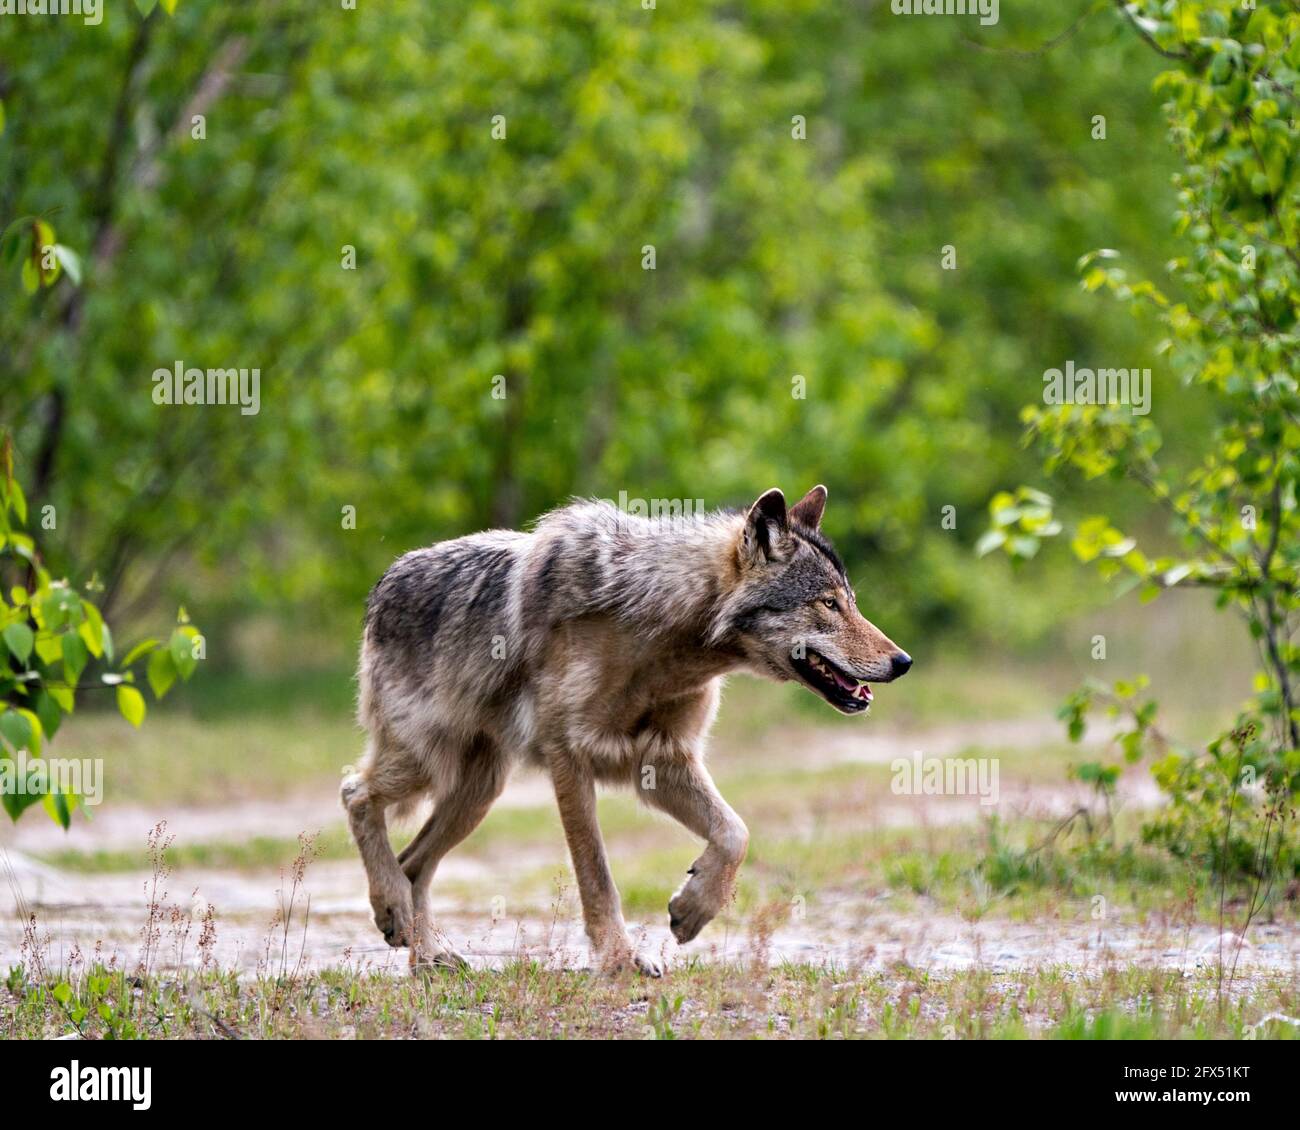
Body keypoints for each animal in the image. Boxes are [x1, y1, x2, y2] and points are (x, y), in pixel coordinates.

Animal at [345, 481, 915, 972]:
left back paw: (425, 954)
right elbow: (595, 875)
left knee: (413, 862)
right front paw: (619, 960)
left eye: (851, 602)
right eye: (829, 604)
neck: (660, 636)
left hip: (478, 791)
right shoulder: (569, 758)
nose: (903, 661)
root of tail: (383, 582)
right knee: (356, 793)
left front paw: (692, 910)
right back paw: (393, 909)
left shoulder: (662, 761)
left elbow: (736, 834)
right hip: (428, 765)